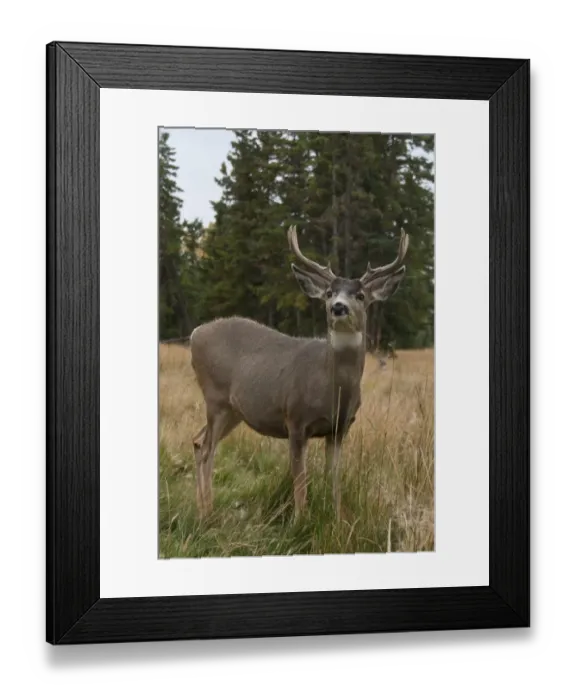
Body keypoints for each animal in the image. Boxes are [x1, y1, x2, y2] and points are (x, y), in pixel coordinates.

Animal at [190, 225, 409, 520]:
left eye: (361, 295)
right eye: (329, 293)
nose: (338, 307)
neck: (332, 391)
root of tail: (194, 334)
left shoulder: (340, 428)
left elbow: (334, 480)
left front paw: (336, 518)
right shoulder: (294, 419)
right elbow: (300, 481)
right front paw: (300, 520)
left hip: (234, 410)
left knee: (199, 442)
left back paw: (205, 508)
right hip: (215, 398)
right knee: (206, 449)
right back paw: (205, 513)